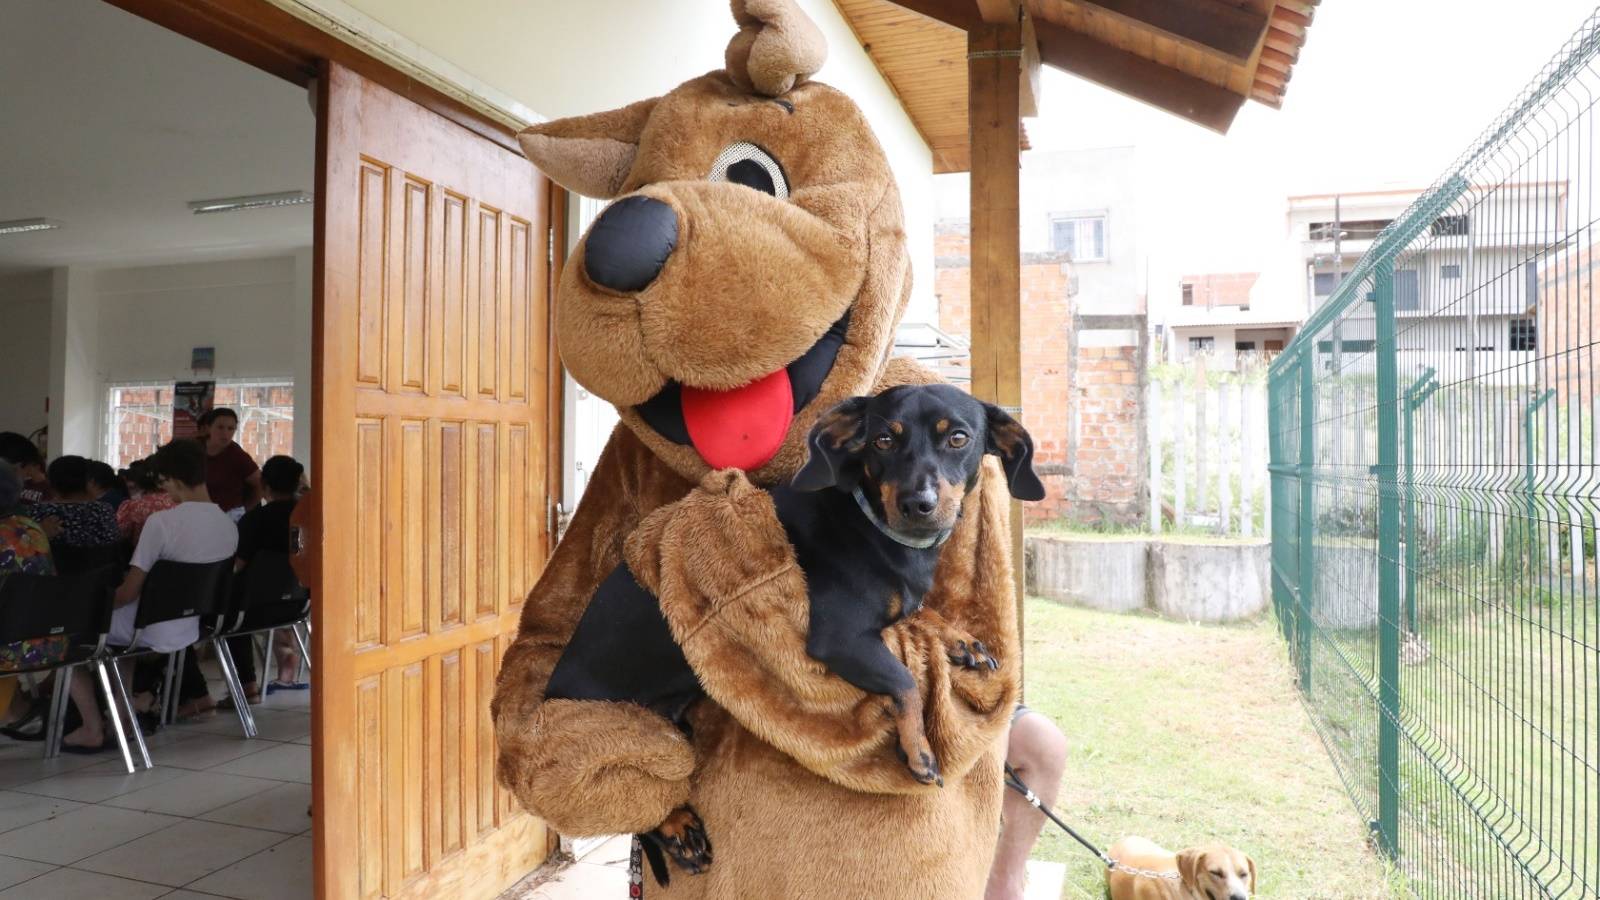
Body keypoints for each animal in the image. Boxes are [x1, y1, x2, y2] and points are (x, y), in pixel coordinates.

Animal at [544, 381, 1043, 871]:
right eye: (883, 440)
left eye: (958, 438)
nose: (917, 505)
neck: (875, 526)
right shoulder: (839, 639)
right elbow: (905, 681)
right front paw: (919, 750)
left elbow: (921, 612)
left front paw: (962, 641)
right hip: (633, 733)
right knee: (636, 798)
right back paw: (678, 829)